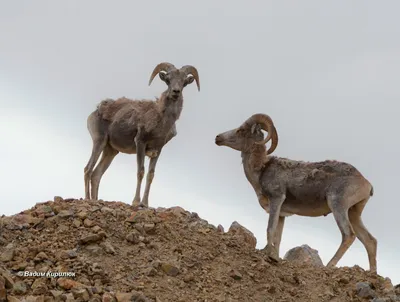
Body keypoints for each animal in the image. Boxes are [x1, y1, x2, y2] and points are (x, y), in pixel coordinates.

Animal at [83, 61, 200, 208]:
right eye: (168, 79)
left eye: (184, 81)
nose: (176, 92)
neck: (161, 121)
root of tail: (96, 110)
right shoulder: (140, 143)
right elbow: (141, 172)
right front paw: (136, 202)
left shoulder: (157, 150)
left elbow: (150, 175)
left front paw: (145, 204)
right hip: (99, 142)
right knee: (88, 169)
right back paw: (88, 199)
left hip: (110, 151)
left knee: (96, 174)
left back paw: (95, 200)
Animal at [214, 114, 376, 274]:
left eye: (240, 130)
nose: (217, 138)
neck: (261, 169)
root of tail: (366, 184)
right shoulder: (282, 215)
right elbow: (277, 238)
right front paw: (275, 257)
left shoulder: (276, 200)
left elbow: (270, 229)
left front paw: (268, 253)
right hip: (353, 213)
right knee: (370, 241)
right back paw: (373, 273)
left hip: (338, 207)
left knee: (348, 235)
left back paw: (328, 266)